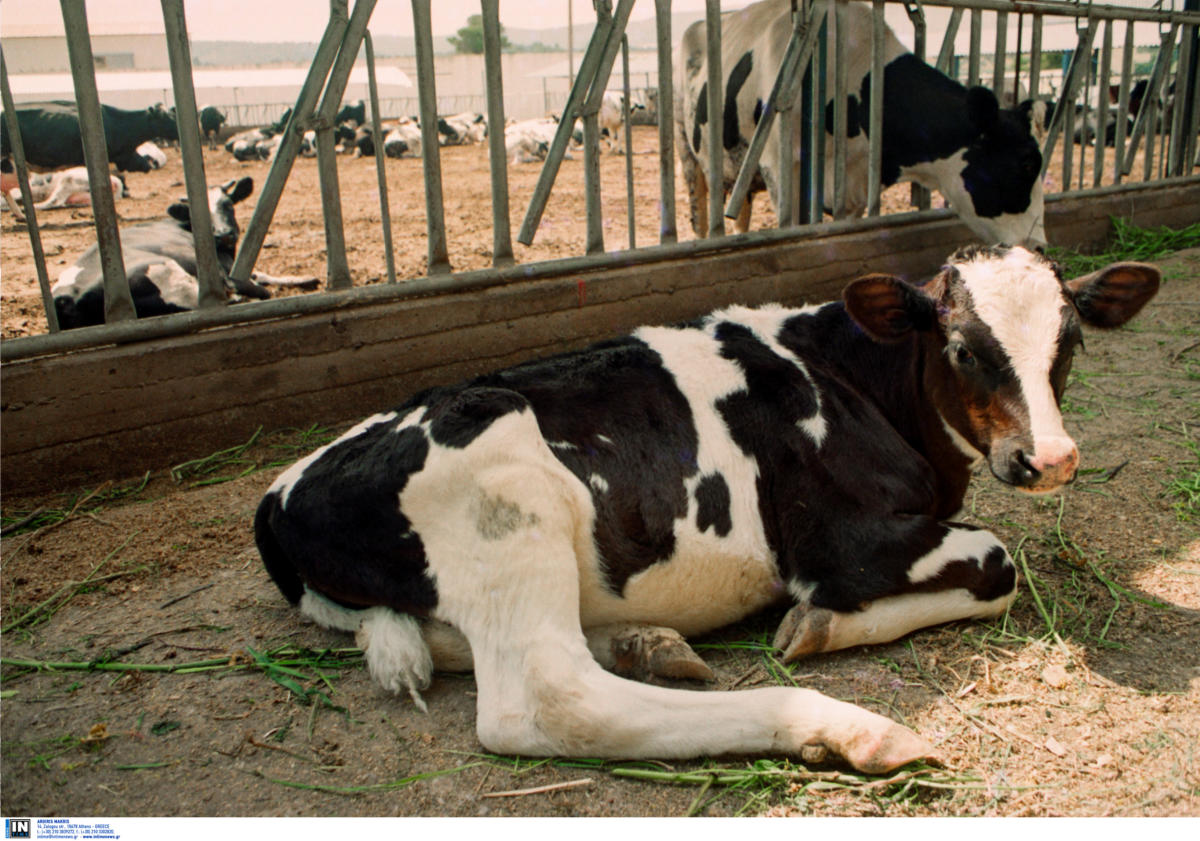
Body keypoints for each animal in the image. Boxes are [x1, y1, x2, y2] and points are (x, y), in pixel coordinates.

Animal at [52, 177, 319, 328]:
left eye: (228, 204)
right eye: (195, 213)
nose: (224, 233)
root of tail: (68, 298)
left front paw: (306, 279)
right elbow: (258, 277)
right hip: (174, 277)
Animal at [255, 245, 1161, 772]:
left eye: (1072, 342)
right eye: (965, 348)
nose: (1052, 457)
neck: (852, 376)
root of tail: (279, 491)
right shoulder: (835, 541)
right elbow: (998, 562)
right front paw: (819, 624)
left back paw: (646, 643)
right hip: (503, 481)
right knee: (550, 700)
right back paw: (845, 727)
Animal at [681, 0, 1046, 244]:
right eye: (1027, 164)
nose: (1040, 247)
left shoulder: (851, 188)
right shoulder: (781, 169)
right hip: (690, 156)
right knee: (701, 214)